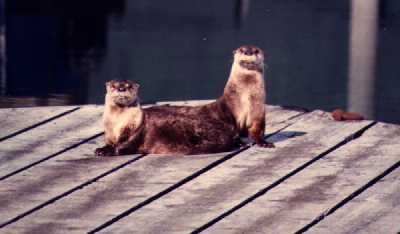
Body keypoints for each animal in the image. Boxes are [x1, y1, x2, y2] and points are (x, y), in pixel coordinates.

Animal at [94, 79, 238, 156]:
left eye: (129, 86)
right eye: (114, 86)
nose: (121, 88)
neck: (117, 123)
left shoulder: (135, 129)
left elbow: (125, 144)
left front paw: (110, 151)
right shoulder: (109, 134)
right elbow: (109, 143)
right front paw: (102, 149)